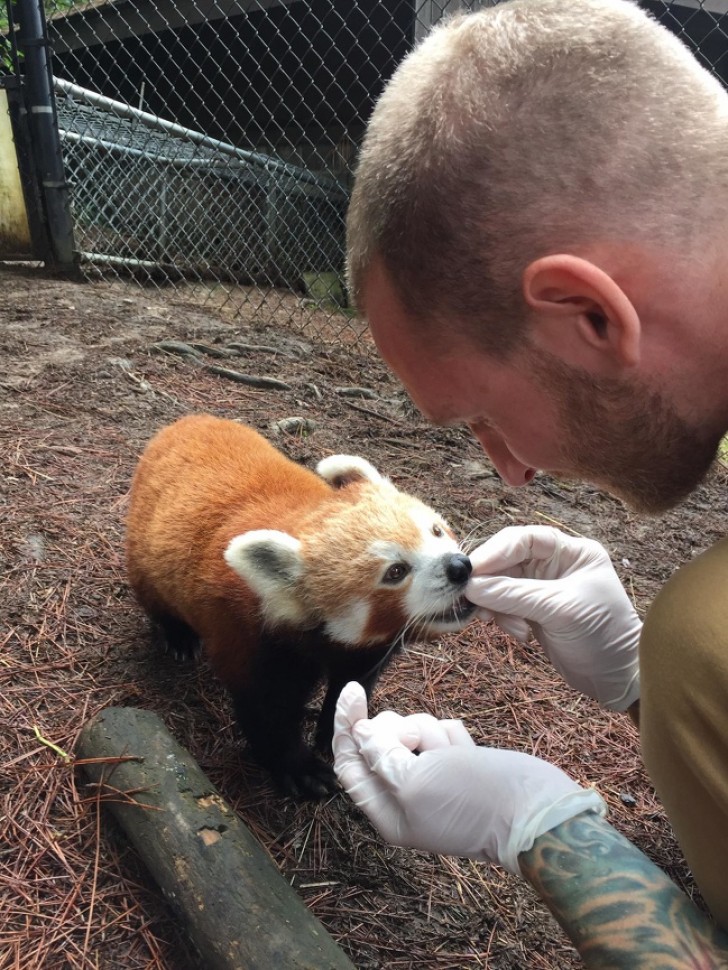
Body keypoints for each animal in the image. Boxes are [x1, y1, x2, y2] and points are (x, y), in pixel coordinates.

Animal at [125, 412, 474, 796]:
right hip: (147, 552)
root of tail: (190, 420)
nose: (459, 567)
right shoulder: (247, 635)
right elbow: (267, 710)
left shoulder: (366, 652)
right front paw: (300, 768)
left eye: (436, 531)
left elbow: (352, 683)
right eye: (395, 571)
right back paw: (179, 637)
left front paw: (338, 727)